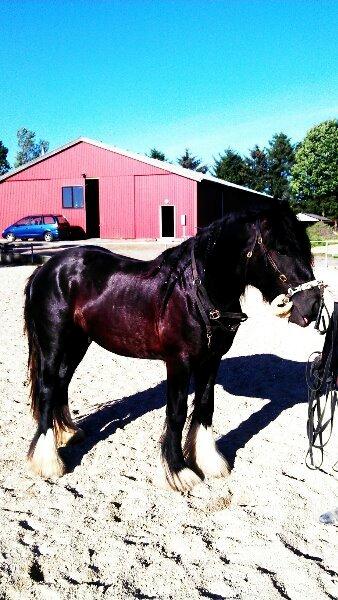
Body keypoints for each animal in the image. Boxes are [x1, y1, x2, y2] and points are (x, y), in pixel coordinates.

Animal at [24, 199, 322, 490]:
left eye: (305, 247)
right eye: (280, 250)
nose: (312, 305)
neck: (195, 292)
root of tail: (47, 269)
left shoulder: (211, 360)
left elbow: (205, 407)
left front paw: (209, 461)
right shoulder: (179, 363)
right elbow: (177, 413)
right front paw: (179, 470)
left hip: (78, 342)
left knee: (62, 382)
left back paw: (68, 433)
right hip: (54, 343)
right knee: (48, 387)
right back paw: (48, 461)